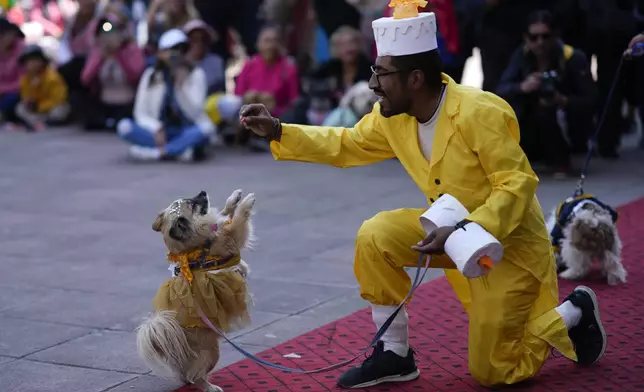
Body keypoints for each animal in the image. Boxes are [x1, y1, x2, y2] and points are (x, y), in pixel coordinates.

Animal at [136, 188, 256, 390]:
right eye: (192, 204)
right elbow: (238, 219)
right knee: (196, 375)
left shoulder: (220, 225)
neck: (195, 245)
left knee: (185, 375)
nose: (203, 192)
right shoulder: (231, 235)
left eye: (189, 198)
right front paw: (246, 202)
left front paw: (235, 198)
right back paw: (210, 387)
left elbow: (226, 213)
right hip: (211, 351)